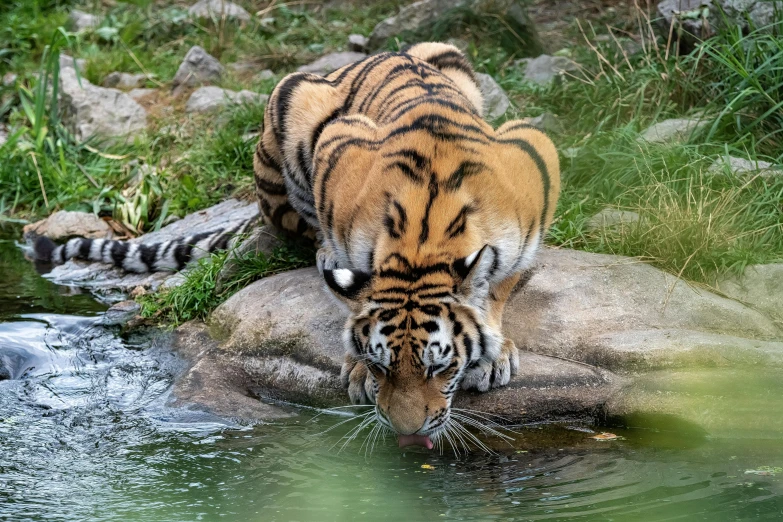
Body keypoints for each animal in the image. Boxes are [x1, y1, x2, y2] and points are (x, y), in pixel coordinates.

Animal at [33, 42, 560, 444]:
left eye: (438, 369)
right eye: (382, 367)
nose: (406, 432)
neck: (423, 245)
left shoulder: (534, 161)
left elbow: (501, 284)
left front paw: (495, 352)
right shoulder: (339, 148)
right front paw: (355, 369)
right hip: (293, 100)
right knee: (300, 227)